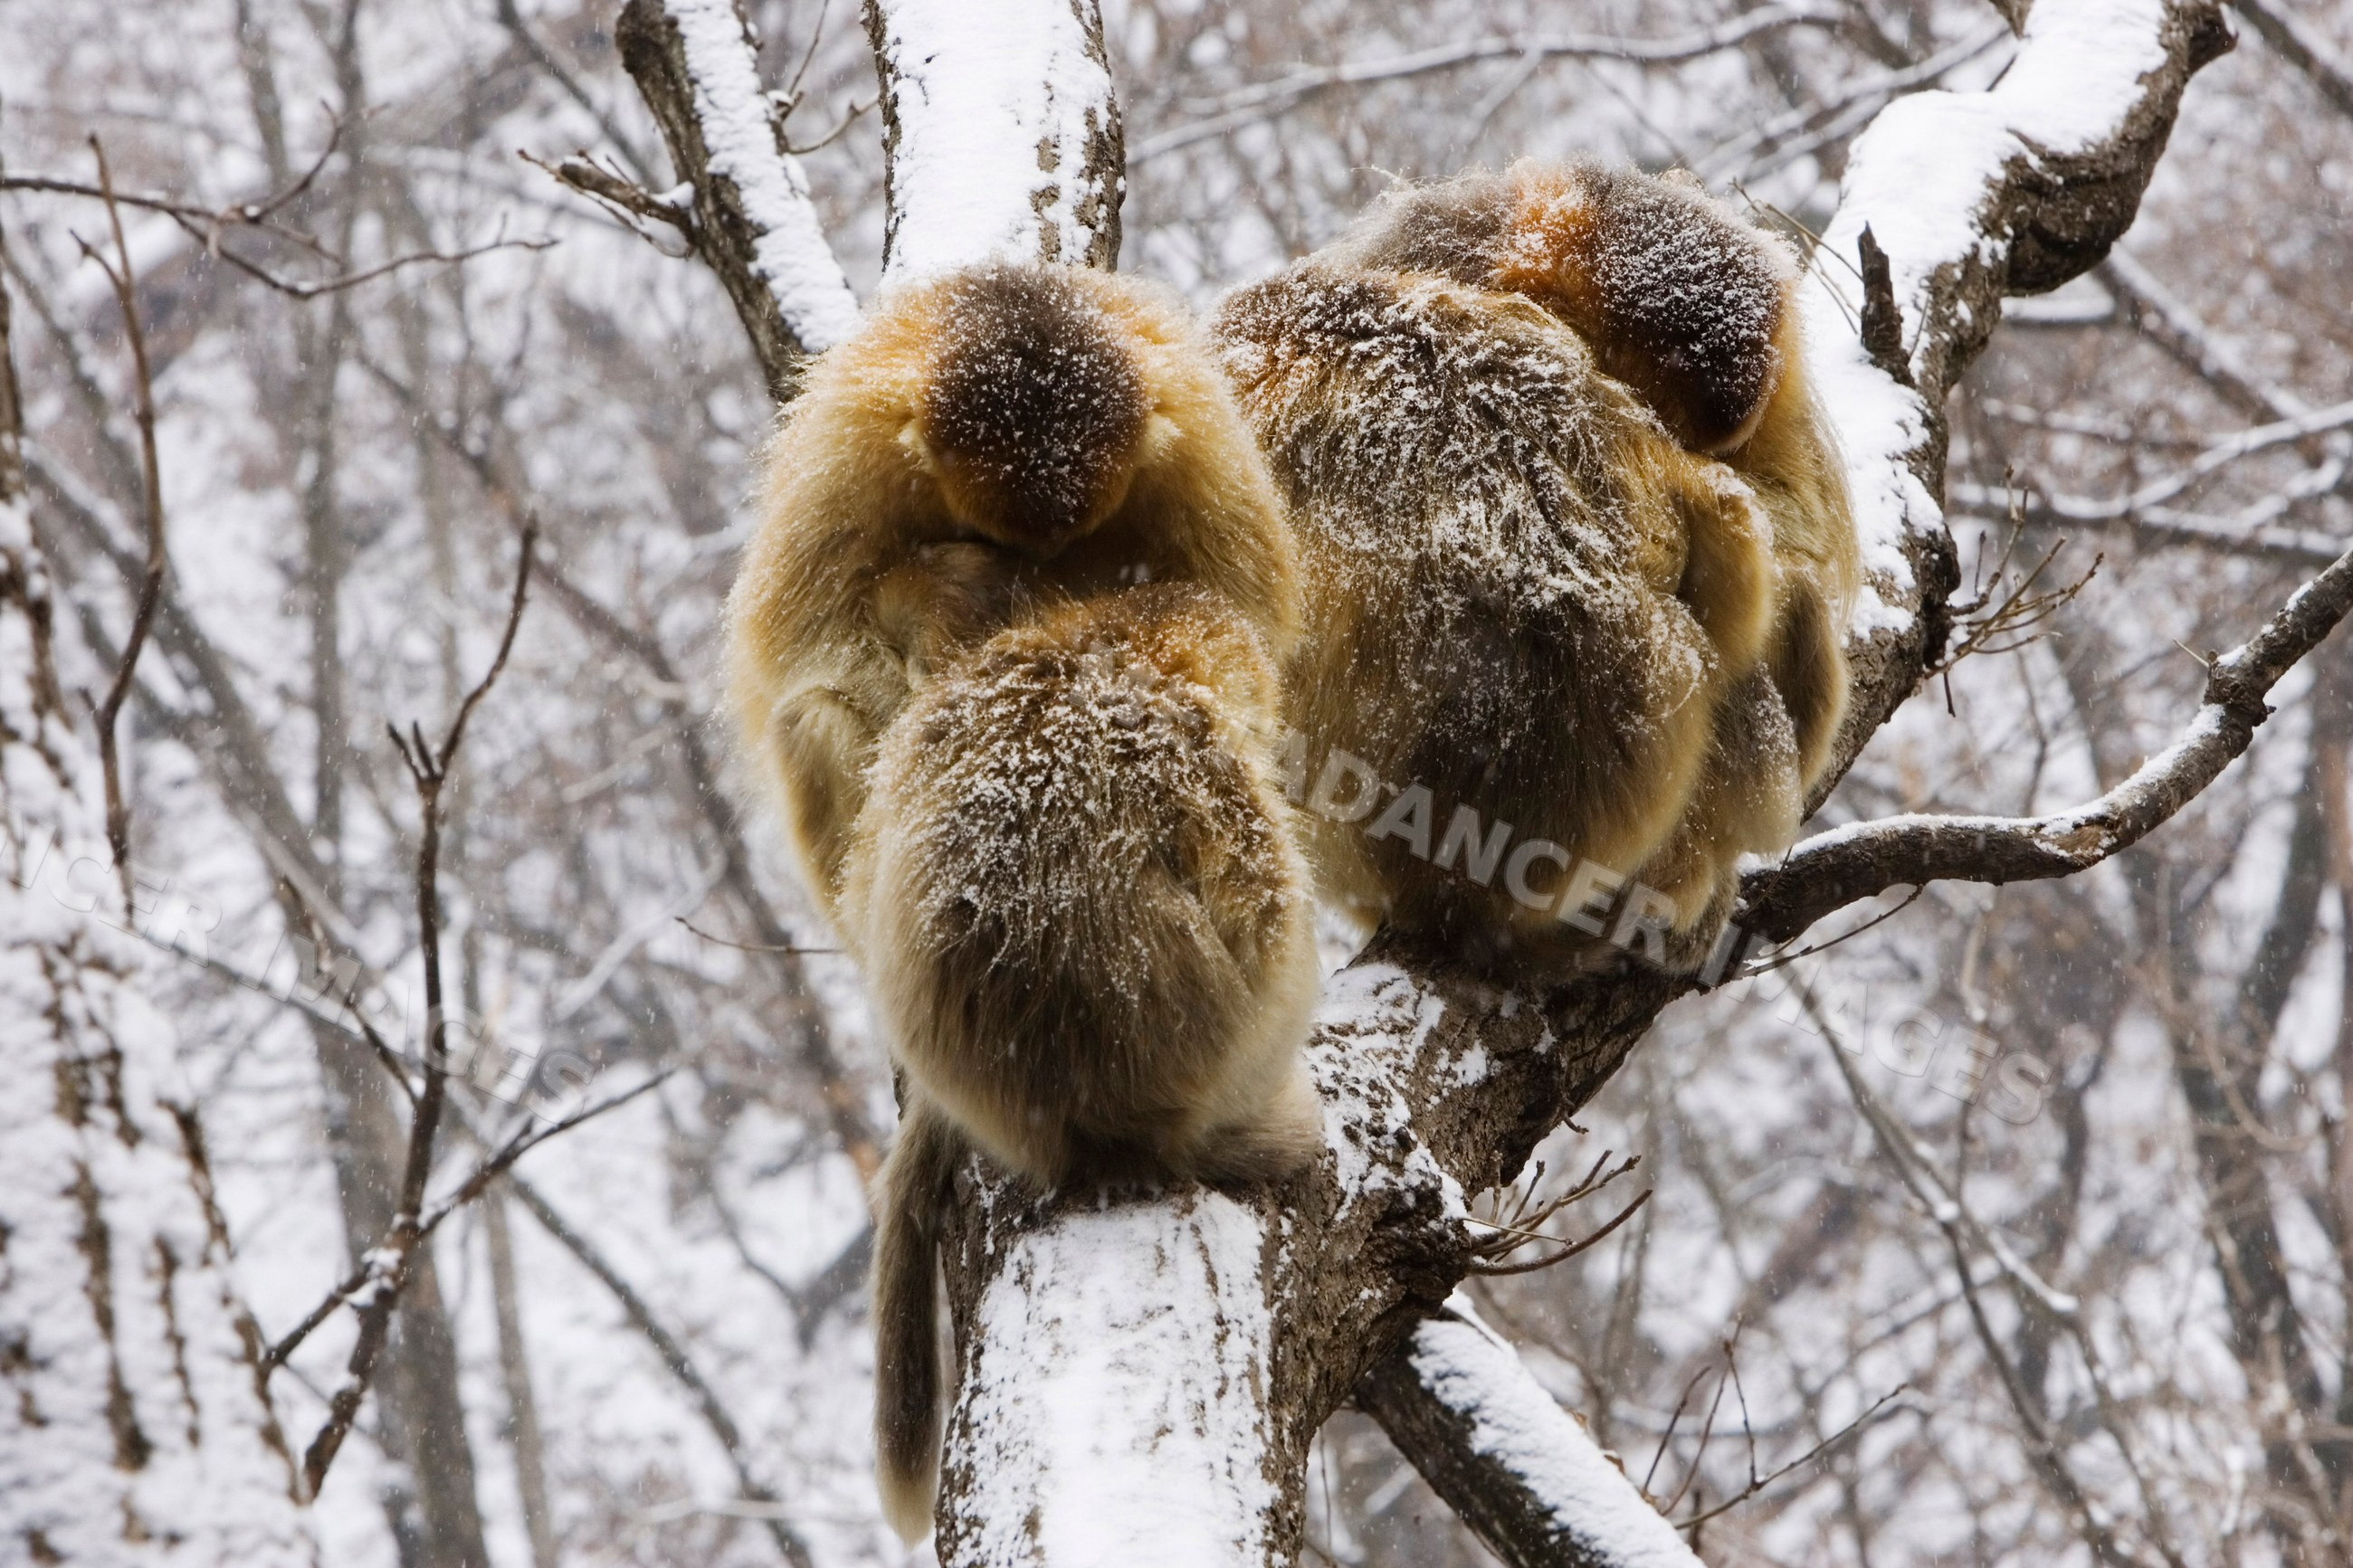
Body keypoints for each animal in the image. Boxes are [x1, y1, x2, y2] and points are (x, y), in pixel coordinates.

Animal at [721, 261, 1321, 1542]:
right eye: (997, 524)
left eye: (1070, 527)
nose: (1021, 579)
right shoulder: (847, 458)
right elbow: (814, 651)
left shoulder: (1196, 457)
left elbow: (1248, 604)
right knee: (814, 715)